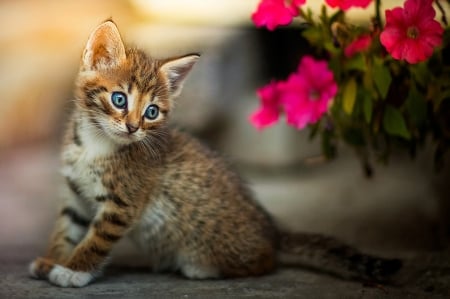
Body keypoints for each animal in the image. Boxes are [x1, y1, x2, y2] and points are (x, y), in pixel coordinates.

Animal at [28, 21, 400, 288]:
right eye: (119, 99)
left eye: (151, 112)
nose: (133, 128)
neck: (94, 143)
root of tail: (271, 233)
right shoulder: (75, 195)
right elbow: (66, 230)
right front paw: (52, 260)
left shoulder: (122, 203)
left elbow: (95, 240)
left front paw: (73, 271)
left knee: (265, 263)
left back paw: (203, 268)